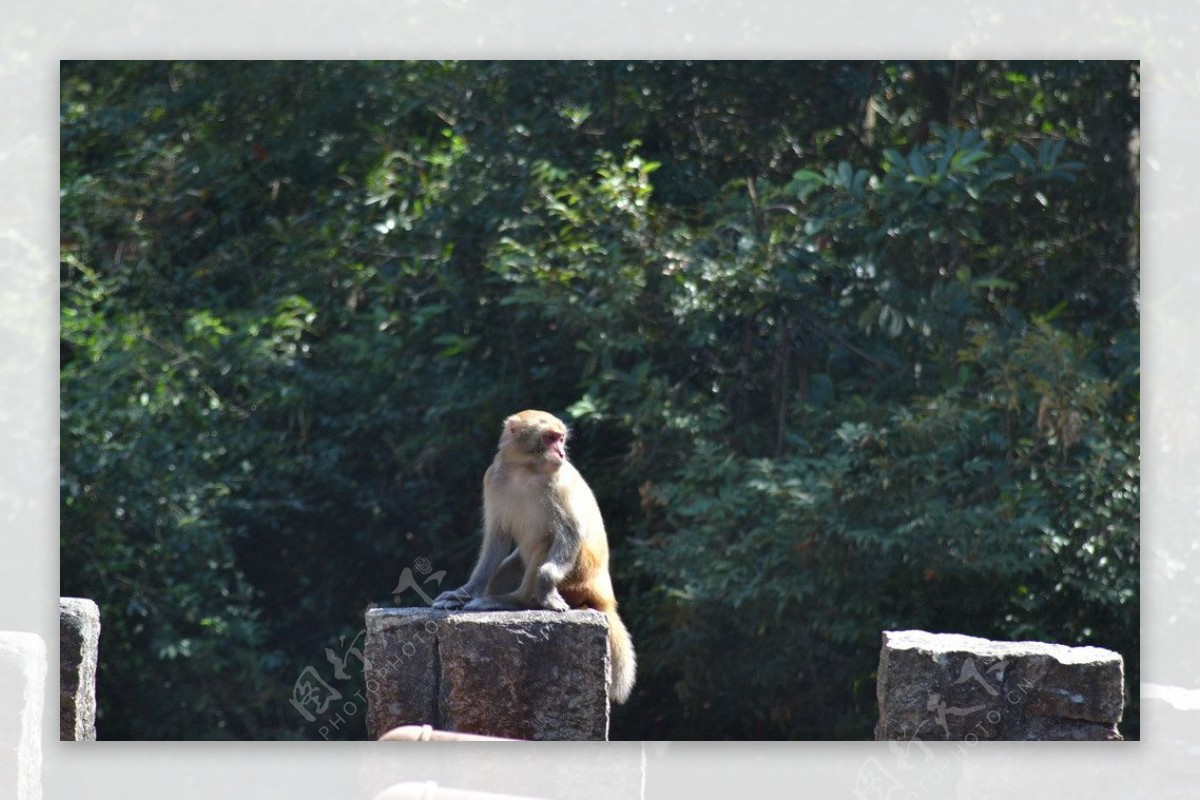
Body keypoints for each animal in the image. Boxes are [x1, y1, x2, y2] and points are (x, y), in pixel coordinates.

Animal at [432, 410, 638, 705]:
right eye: (551, 438)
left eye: (561, 438)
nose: (561, 452)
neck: (525, 469)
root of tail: (604, 599)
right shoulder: (493, 478)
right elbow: (496, 539)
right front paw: (464, 592)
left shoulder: (560, 480)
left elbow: (571, 532)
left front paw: (545, 588)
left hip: (578, 576)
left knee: (547, 542)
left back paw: (518, 600)